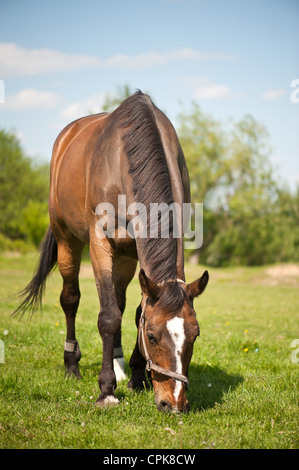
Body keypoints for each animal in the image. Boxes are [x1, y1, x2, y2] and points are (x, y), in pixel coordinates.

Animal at [14, 91, 209, 412]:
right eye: (152, 336)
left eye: (195, 335)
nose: (174, 403)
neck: (124, 162)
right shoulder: (99, 243)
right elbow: (107, 317)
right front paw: (107, 390)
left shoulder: (139, 254)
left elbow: (135, 311)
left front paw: (137, 378)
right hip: (67, 240)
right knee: (70, 299)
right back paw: (72, 366)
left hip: (126, 257)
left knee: (119, 299)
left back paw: (119, 365)